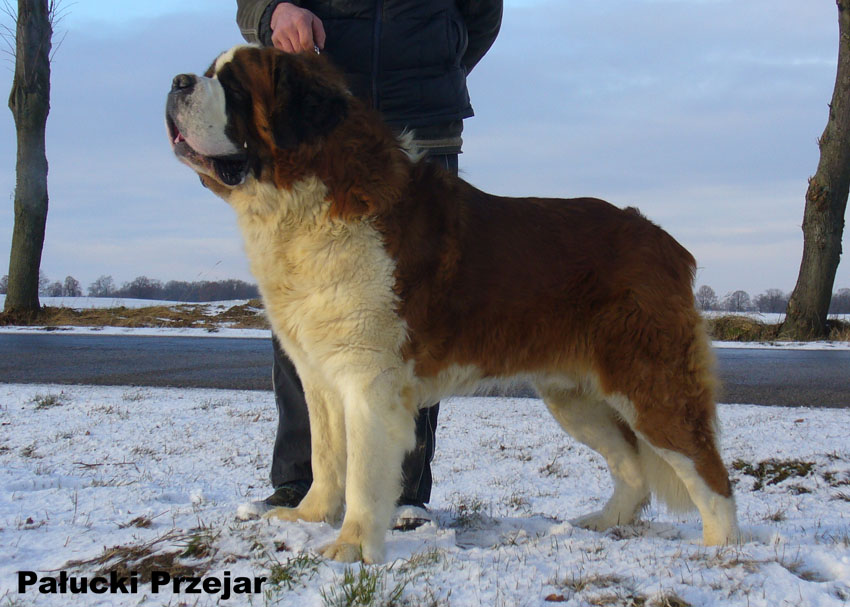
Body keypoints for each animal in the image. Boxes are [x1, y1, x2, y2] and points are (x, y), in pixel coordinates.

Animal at [166, 45, 739, 563]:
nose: (177, 81)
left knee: (707, 468)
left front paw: (351, 546)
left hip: (649, 382)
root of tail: (665, 242)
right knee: (633, 468)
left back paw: (721, 550)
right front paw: (308, 517)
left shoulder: (370, 382)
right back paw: (604, 521)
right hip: (575, 397)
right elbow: (325, 455)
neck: (305, 200)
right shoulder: (320, 375)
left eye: (235, 86)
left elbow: (362, 474)